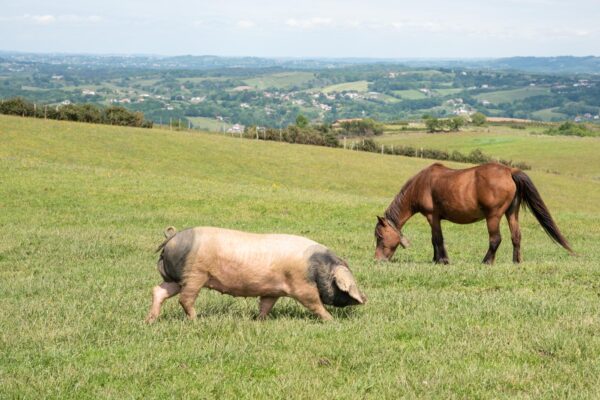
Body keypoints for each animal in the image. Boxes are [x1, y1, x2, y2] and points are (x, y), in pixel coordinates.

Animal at [145, 225, 366, 322]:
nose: (364, 298)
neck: (318, 268)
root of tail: (171, 238)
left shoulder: (272, 291)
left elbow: (265, 305)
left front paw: (258, 320)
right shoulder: (301, 285)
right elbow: (314, 302)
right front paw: (331, 320)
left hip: (175, 279)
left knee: (158, 291)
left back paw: (150, 320)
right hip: (195, 275)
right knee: (185, 299)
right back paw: (196, 320)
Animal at [376, 161, 572, 264]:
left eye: (379, 236)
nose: (377, 259)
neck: (421, 184)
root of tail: (510, 171)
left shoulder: (433, 216)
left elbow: (437, 239)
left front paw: (442, 260)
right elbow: (435, 239)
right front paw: (436, 259)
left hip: (493, 216)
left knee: (495, 239)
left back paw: (486, 261)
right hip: (511, 213)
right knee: (516, 236)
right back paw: (516, 261)